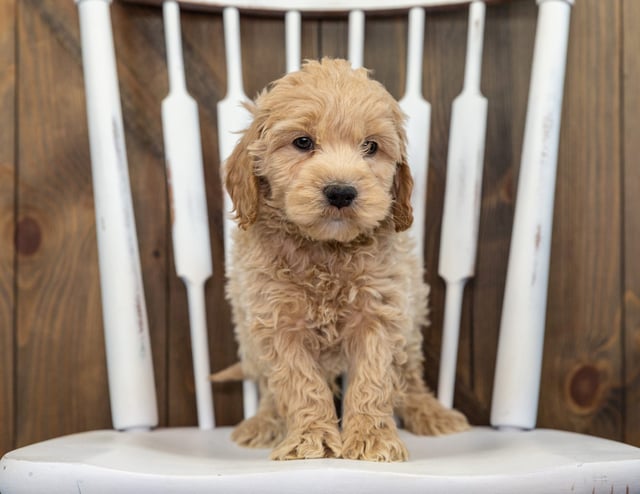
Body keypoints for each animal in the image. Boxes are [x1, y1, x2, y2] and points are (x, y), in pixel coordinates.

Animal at [222, 58, 468, 464]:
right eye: (302, 142)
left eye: (370, 146)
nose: (341, 192)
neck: (326, 249)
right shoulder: (278, 322)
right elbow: (299, 383)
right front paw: (311, 440)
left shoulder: (380, 314)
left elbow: (373, 380)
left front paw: (371, 439)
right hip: (248, 333)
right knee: (270, 388)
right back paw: (263, 422)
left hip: (412, 320)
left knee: (410, 374)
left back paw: (431, 412)